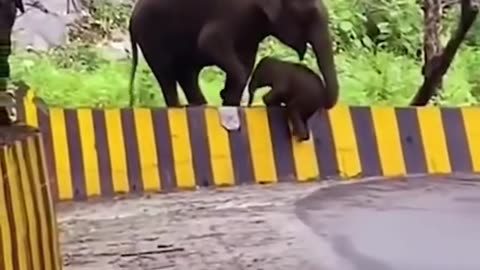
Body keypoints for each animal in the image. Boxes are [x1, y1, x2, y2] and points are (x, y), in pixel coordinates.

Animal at [127, 0, 338, 106]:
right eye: (309, 13)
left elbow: (247, 60)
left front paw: (229, 99)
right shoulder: (232, 13)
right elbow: (209, 41)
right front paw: (225, 94)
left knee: (186, 73)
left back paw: (201, 106)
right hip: (150, 37)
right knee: (166, 74)